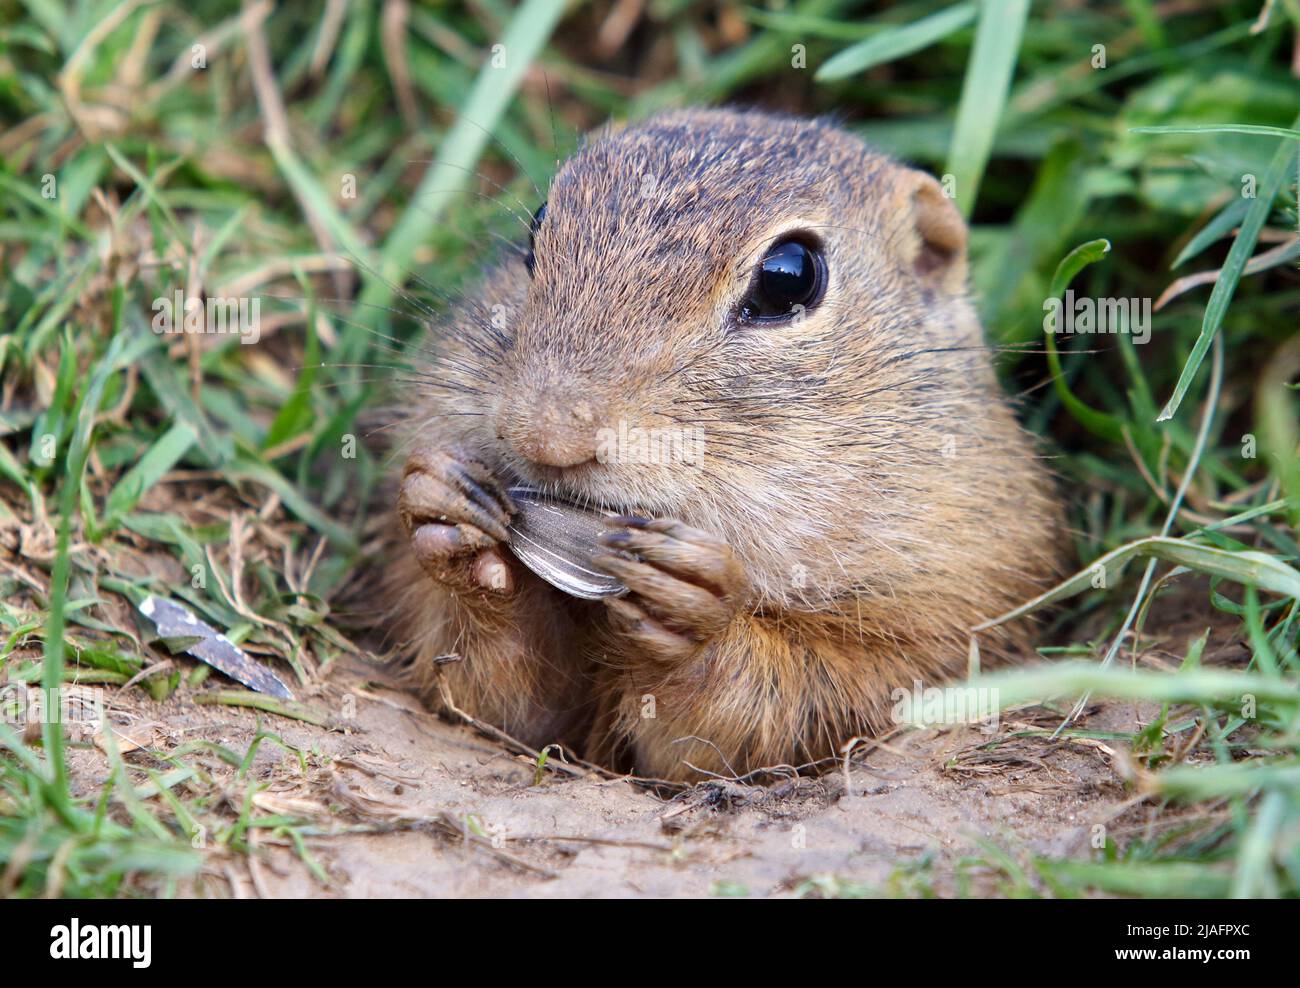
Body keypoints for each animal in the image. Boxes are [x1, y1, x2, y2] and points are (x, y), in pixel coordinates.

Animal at [384, 108, 1063, 782]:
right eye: (535, 228)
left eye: (789, 277)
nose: (546, 436)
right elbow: (507, 704)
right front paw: (445, 510)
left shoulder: (950, 610)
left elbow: (772, 708)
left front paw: (695, 612)